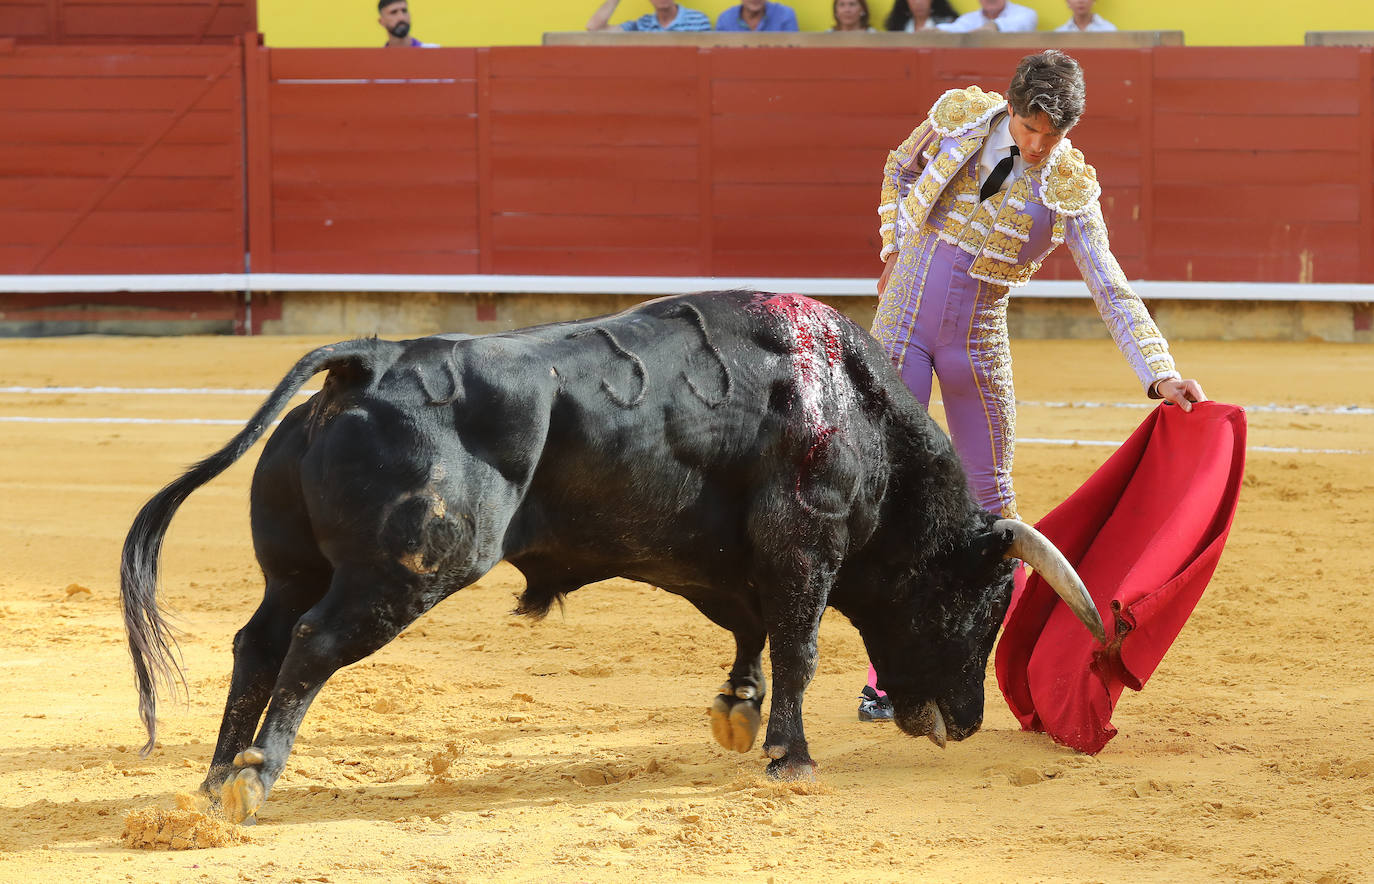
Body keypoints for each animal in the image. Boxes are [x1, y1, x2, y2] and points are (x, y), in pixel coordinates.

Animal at [120, 290, 1104, 824]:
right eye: (983, 604)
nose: (967, 722)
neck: (851, 408)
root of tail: (370, 359)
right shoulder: (804, 545)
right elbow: (799, 643)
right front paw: (790, 757)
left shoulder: (712, 556)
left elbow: (749, 629)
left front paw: (737, 713)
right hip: (406, 571)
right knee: (314, 644)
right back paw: (256, 779)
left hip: (294, 569)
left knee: (257, 641)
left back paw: (215, 778)